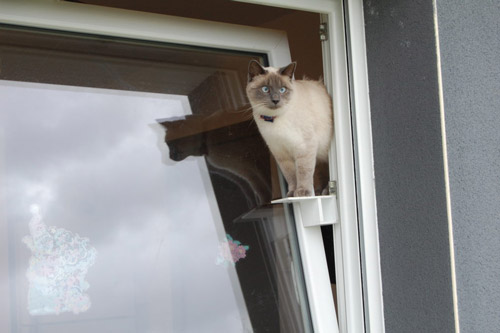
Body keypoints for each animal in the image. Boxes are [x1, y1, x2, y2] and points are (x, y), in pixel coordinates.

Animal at [245, 60, 332, 196]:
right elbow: (291, 175)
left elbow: (303, 172)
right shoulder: (281, 153)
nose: (276, 100)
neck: (274, 119)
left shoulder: (304, 148)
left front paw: (302, 193)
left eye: (282, 90)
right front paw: (292, 193)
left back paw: (324, 191)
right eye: (265, 89)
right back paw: (318, 191)